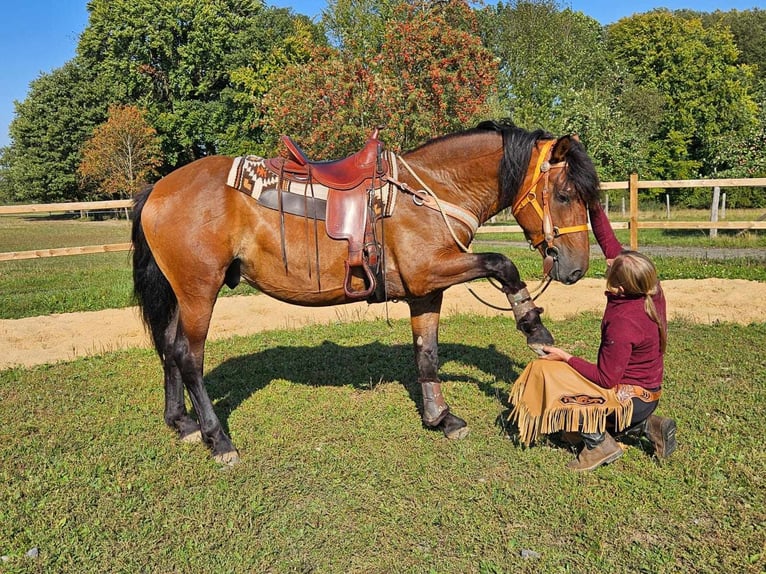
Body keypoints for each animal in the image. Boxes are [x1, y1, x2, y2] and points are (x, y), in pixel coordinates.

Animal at [130, 119, 600, 466]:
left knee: (169, 349)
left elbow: (426, 352)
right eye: (563, 194)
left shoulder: (425, 290)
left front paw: (440, 417)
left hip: (181, 294)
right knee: (189, 358)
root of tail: (157, 189)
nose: (576, 267)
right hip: (199, 291)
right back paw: (217, 438)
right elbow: (503, 264)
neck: (432, 192)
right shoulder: (432, 271)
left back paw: (182, 423)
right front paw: (534, 328)